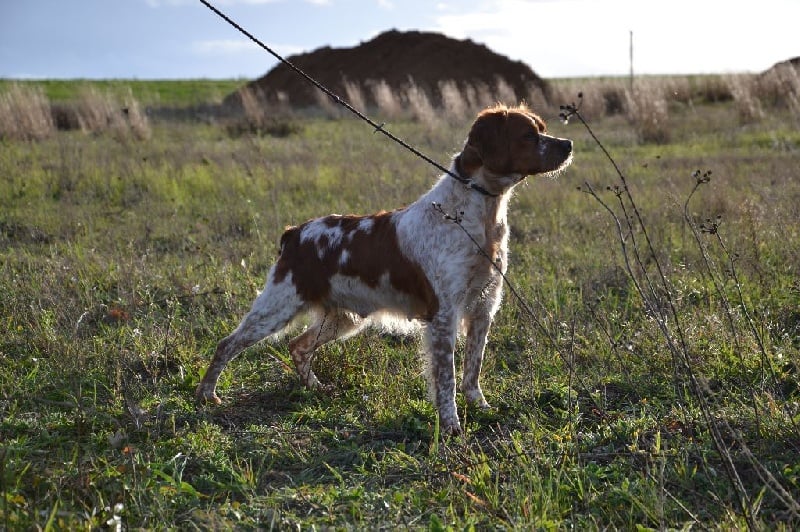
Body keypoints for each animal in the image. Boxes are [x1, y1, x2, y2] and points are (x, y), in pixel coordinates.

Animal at [196, 105, 572, 436]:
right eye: (528, 135)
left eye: (542, 128)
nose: (568, 144)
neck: (478, 216)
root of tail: (294, 233)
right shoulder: (444, 315)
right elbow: (447, 379)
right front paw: (451, 426)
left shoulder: (483, 307)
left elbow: (472, 373)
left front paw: (481, 408)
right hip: (277, 307)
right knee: (227, 344)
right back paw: (206, 394)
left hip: (343, 318)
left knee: (298, 346)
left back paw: (316, 388)